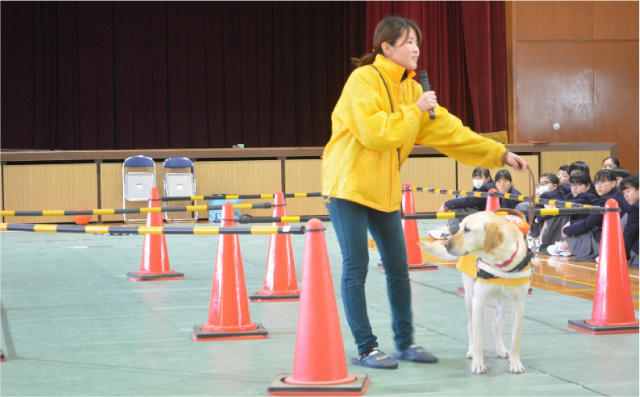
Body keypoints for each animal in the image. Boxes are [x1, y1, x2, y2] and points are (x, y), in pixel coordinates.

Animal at [422, 212, 532, 372]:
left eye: (467, 229)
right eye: (459, 228)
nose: (446, 245)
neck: (500, 261)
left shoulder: (519, 304)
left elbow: (515, 340)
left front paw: (515, 364)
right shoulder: (478, 300)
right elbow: (478, 338)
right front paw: (478, 364)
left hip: (504, 301)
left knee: (496, 324)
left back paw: (501, 350)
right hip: (469, 297)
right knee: (471, 326)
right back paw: (471, 352)